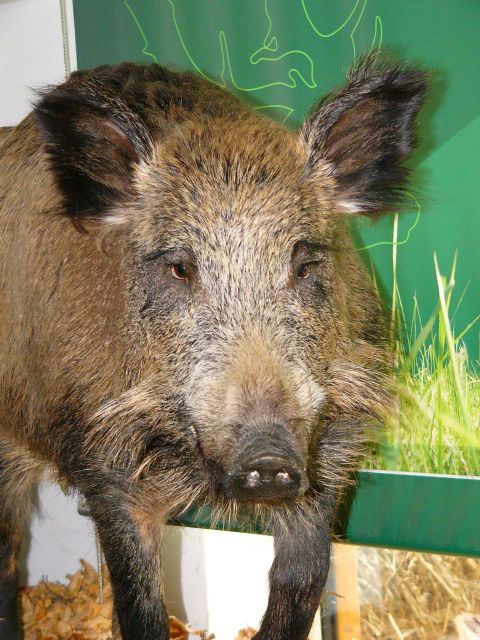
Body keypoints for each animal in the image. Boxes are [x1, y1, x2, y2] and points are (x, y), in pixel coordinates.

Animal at [0, 53, 427, 640]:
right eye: (180, 268)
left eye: (303, 262)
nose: (266, 454)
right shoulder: (104, 461)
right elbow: (140, 604)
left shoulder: (329, 450)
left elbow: (301, 582)